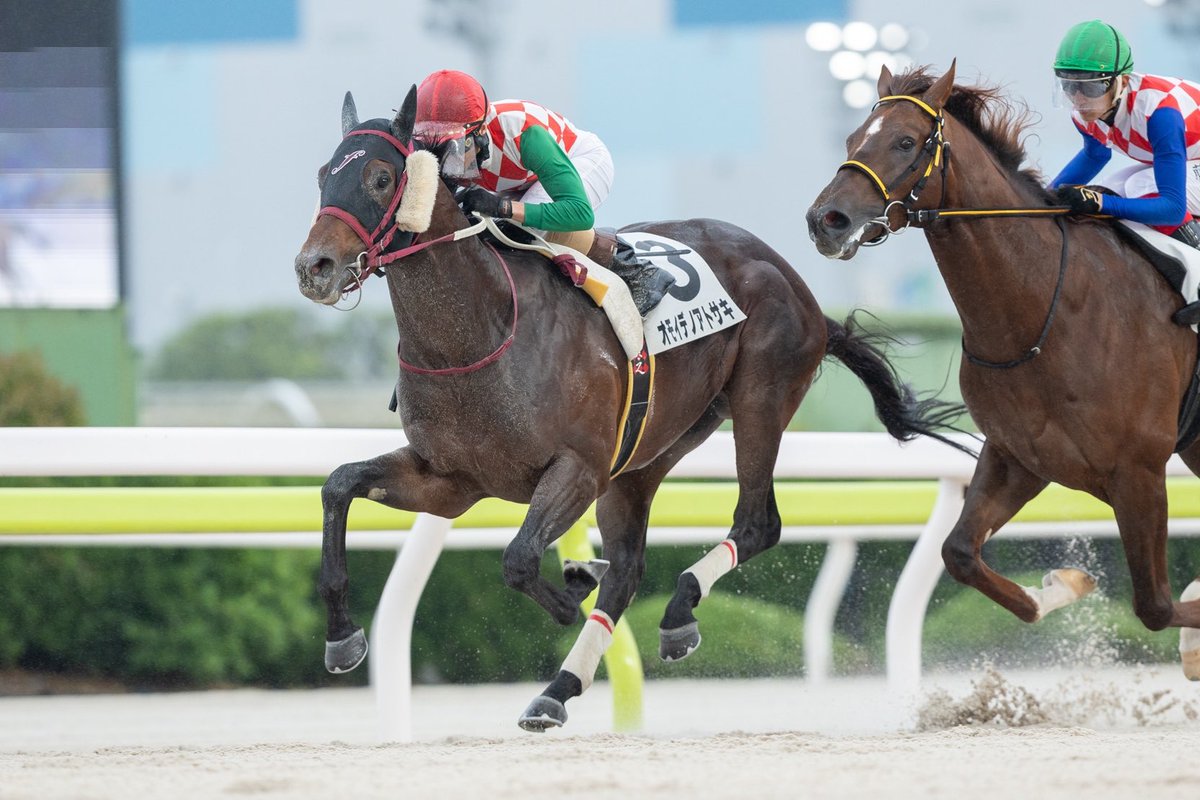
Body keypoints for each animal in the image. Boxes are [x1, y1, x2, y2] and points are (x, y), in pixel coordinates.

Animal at [294, 84, 963, 732]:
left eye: (382, 176)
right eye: (324, 172)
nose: (313, 267)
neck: (478, 332)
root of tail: (799, 286)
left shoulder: (578, 468)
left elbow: (518, 560)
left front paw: (569, 587)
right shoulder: (451, 480)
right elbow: (338, 485)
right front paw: (342, 638)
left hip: (758, 400)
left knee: (756, 523)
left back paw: (669, 610)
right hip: (652, 446)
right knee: (629, 567)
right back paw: (562, 687)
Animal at [807, 61, 1200, 678]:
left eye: (906, 142)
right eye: (851, 140)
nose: (826, 220)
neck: (1043, 312)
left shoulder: (1138, 470)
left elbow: (1156, 605)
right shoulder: (1020, 456)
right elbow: (959, 553)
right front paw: (1059, 588)